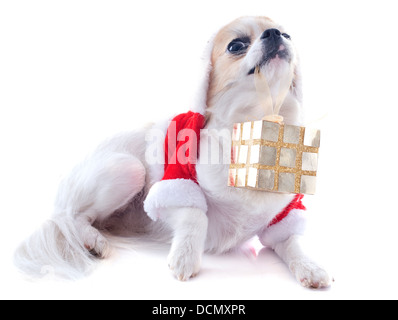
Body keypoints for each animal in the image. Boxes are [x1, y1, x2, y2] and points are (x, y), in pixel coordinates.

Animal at [14, 16, 330, 288]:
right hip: (128, 170)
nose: (276, 34)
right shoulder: (171, 188)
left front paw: (310, 266)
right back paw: (94, 240)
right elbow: (195, 215)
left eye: (288, 35)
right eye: (236, 45)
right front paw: (185, 257)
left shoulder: (284, 215)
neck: (254, 131)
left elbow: (292, 242)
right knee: (71, 217)